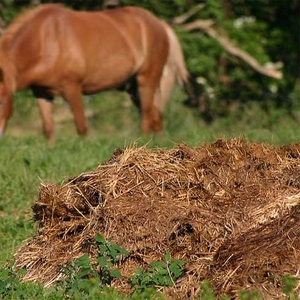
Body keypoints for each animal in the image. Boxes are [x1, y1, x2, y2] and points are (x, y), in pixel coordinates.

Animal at [0, 3, 189, 139]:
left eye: (1, 102)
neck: (45, 40)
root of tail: (160, 23)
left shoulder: (72, 88)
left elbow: (82, 128)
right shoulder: (42, 93)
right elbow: (48, 130)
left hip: (146, 81)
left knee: (146, 117)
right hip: (133, 88)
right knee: (156, 117)